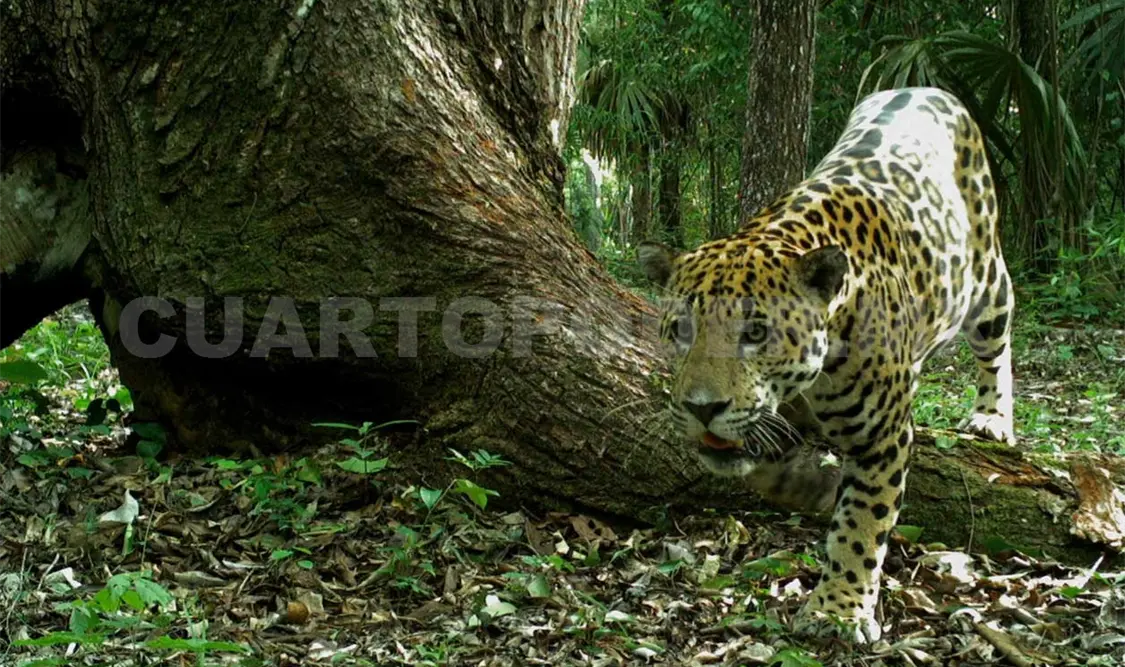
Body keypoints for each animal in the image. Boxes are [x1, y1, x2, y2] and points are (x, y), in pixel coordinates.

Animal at [636, 87, 1015, 643]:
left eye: (756, 333)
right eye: (681, 330)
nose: (702, 409)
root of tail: (927, 88)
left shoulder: (882, 438)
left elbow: (862, 524)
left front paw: (838, 611)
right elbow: (767, 467)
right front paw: (811, 489)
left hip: (986, 279)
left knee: (998, 339)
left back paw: (993, 417)